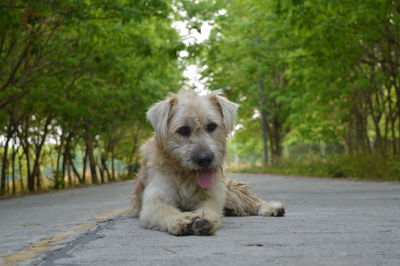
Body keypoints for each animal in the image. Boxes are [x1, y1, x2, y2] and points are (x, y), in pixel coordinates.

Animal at [130, 90, 282, 237]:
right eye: (183, 130)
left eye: (211, 126)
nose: (205, 159)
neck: (185, 176)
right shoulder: (155, 202)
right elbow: (167, 211)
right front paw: (181, 220)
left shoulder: (211, 197)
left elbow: (209, 210)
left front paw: (203, 220)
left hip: (230, 191)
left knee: (251, 201)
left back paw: (271, 207)